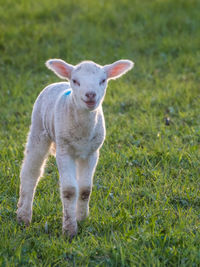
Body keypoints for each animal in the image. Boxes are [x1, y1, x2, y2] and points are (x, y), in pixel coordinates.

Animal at [16, 58, 134, 239]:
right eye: (75, 81)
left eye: (103, 80)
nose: (90, 95)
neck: (83, 130)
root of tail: (58, 82)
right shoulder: (64, 152)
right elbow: (70, 191)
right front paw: (69, 230)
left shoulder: (92, 153)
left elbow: (85, 189)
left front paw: (82, 218)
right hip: (38, 130)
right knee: (31, 172)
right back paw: (23, 216)